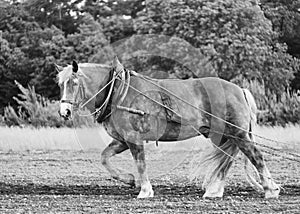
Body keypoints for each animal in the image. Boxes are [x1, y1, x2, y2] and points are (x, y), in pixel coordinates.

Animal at [55, 57, 278, 199]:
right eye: (60, 84)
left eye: (73, 82)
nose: (64, 111)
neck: (117, 91)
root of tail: (239, 89)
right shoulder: (122, 140)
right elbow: (104, 158)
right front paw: (129, 179)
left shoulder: (134, 139)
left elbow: (141, 164)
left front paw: (145, 191)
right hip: (224, 136)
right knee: (228, 159)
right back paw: (214, 191)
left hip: (238, 134)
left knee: (256, 156)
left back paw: (270, 190)